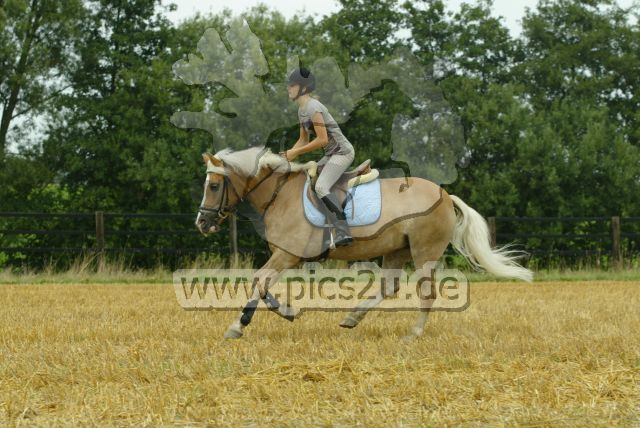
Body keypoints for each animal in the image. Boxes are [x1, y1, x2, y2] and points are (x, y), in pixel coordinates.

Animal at [195, 146, 532, 339]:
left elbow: (259, 280)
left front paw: (243, 324)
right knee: (389, 287)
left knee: (426, 292)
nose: (202, 223)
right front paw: (285, 312)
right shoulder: (285, 256)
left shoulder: (287, 255)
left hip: (424, 252)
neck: (279, 194)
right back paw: (352, 318)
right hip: (397, 250)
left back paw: (414, 334)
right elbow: (261, 283)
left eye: (214, 186)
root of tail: (446, 196)